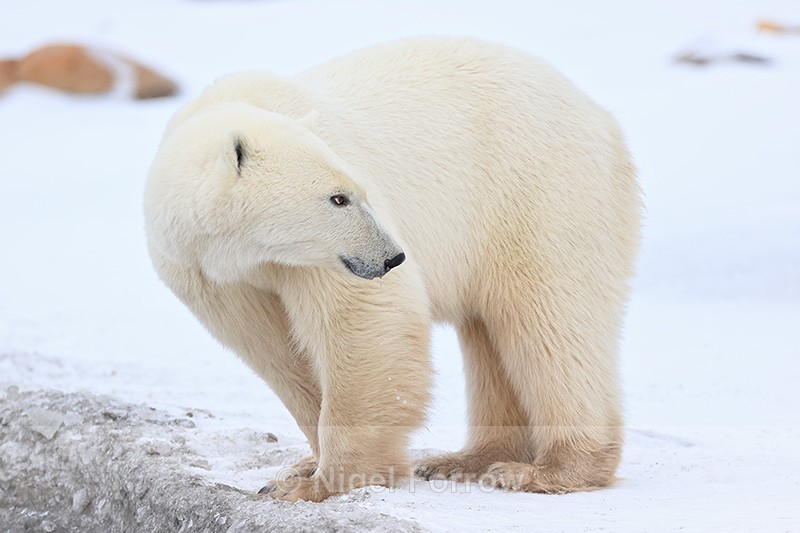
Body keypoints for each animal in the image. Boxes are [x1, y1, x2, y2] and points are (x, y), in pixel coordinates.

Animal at [144, 36, 641, 502]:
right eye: (338, 198)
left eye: (354, 191)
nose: (392, 257)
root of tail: (601, 116)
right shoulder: (212, 275)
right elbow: (277, 352)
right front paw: (303, 467)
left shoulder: (319, 256)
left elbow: (362, 323)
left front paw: (320, 483)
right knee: (491, 333)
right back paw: (464, 460)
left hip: (536, 190)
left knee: (549, 320)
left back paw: (547, 470)